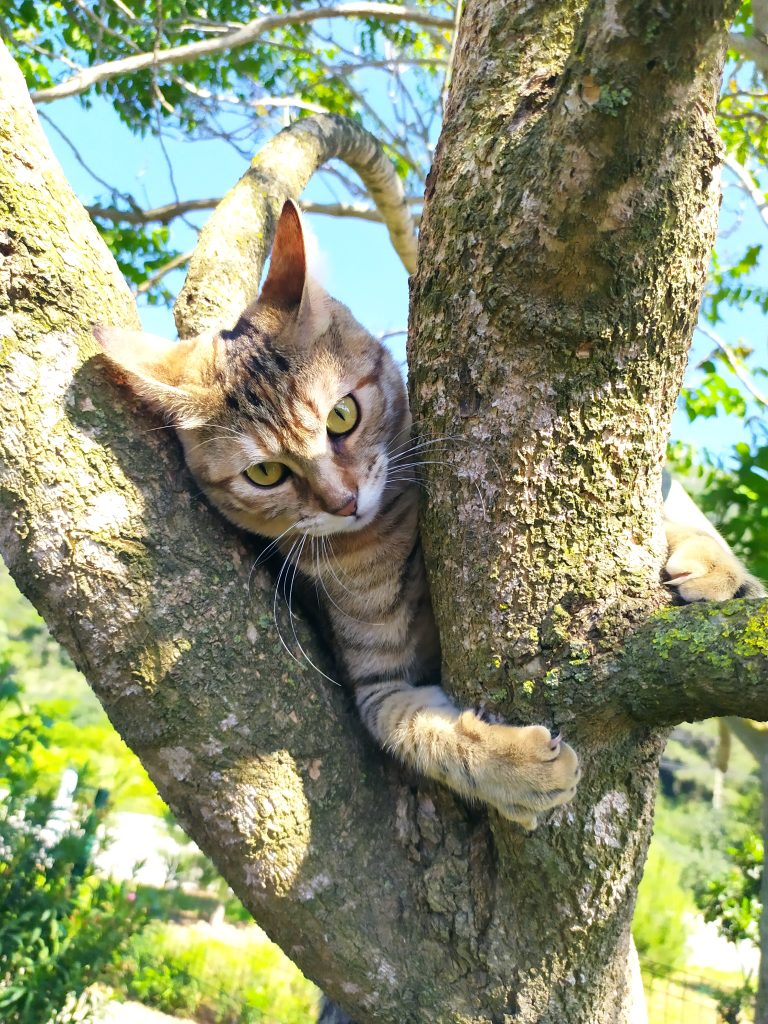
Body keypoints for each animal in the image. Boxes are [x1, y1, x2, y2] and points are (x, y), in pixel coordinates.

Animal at [96, 197, 765, 831]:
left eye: (342, 416)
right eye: (265, 474)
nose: (342, 502)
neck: (388, 532)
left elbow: (679, 503)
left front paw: (713, 562)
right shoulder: (376, 685)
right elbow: (422, 734)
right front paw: (513, 768)